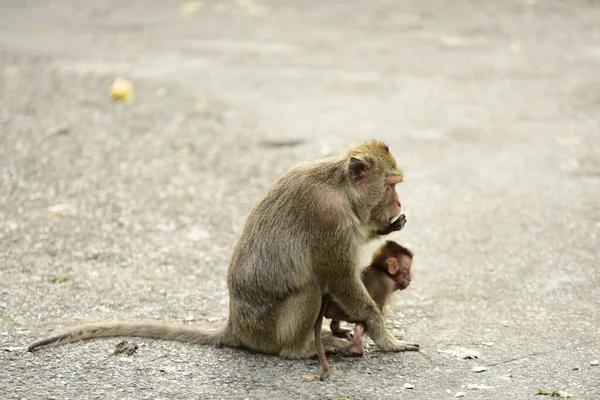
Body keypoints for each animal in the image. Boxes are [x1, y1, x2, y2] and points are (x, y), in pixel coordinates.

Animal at [28, 140, 420, 356]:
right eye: (392, 184)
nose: (400, 203)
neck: (341, 189)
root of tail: (235, 327)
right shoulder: (328, 221)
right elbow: (341, 280)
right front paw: (386, 338)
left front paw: (384, 227)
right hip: (268, 330)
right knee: (309, 288)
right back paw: (302, 351)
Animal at [314, 241, 412, 378]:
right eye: (407, 270)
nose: (411, 277)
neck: (381, 270)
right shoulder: (387, 284)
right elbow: (378, 312)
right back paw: (357, 346)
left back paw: (338, 329)